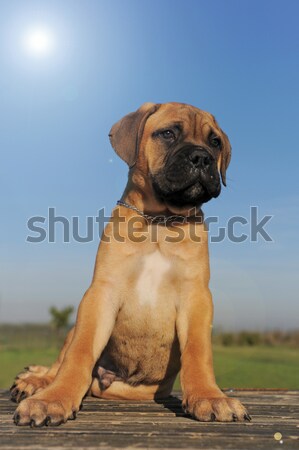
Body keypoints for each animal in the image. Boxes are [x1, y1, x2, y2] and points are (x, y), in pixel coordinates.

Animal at [10, 101, 251, 426]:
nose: (202, 158)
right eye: (168, 133)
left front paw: (209, 396)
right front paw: (52, 399)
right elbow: (79, 353)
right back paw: (36, 380)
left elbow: (198, 351)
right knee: (61, 360)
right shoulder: (101, 293)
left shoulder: (197, 297)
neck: (159, 221)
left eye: (215, 142)